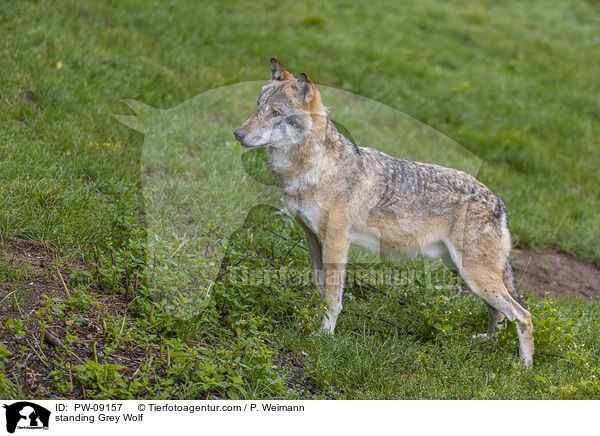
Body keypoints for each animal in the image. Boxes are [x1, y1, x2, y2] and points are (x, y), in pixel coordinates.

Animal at [233, 57, 536, 364]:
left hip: (474, 275)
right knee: (499, 313)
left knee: (524, 316)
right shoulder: (313, 240)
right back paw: (487, 341)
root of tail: (499, 201)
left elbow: (332, 299)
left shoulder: (336, 243)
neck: (315, 168)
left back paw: (523, 367)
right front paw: (309, 326)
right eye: (258, 107)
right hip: (463, 272)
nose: (237, 133)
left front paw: (324, 336)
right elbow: (319, 292)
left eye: (275, 113)